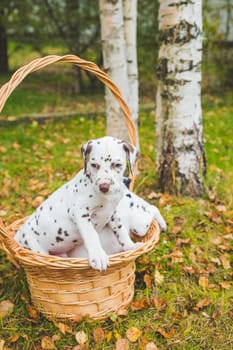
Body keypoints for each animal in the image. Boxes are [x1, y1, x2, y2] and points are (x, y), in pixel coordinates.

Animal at [15, 136, 142, 270]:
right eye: (94, 165)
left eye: (117, 165)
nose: (103, 187)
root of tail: (19, 235)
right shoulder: (80, 213)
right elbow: (92, 235)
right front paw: (98, 256)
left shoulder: (113, 213)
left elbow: (120, 230)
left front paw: (130, 246)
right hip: (37, 249)